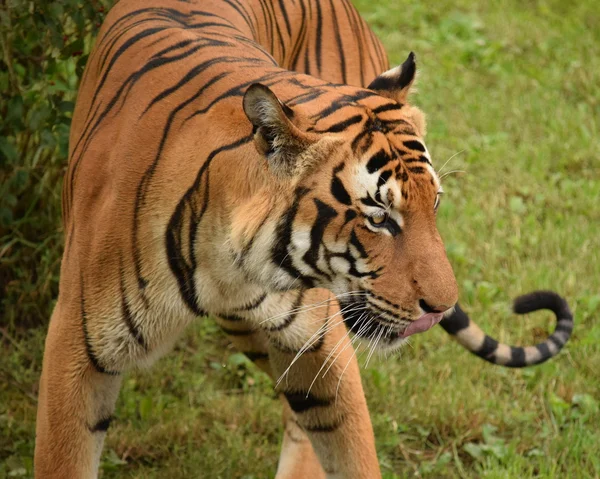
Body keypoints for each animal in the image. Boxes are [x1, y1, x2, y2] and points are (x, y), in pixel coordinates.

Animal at [35, 0, 576, 478]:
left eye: (435, 203)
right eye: (379, 217)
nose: (440, 308)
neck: (227, 265)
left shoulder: (315, 341)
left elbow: (349, 448)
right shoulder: (75, 352)